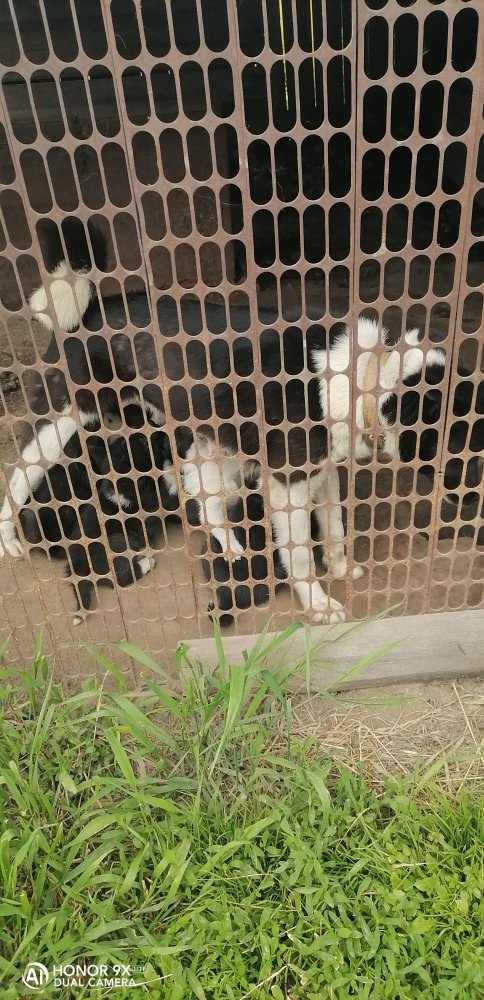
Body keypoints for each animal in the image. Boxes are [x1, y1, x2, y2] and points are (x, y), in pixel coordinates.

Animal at [1, 220, 482, 625]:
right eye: (469, 447)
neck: (366, 376)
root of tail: (94, 307)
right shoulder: (290, 481)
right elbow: (300, 554)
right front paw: (318, 604)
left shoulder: (322, 470)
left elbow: (333, 528)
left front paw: (340, 566)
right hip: (59, 422)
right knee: (17, 476)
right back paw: (9, 537)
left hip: (205, 438)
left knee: (204, 497)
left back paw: (229, 546)